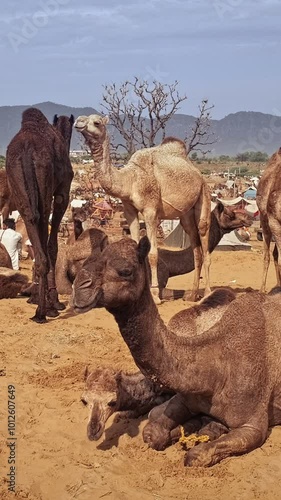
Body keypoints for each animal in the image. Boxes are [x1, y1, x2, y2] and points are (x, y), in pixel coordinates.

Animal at [5, 107, 73, 322]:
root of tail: (27, 149)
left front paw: (36, 297)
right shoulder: (62, 194)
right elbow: (52, 246)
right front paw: (55, 302)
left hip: (19, 187)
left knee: (31, 218)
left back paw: (38, 308)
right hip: (44, 187)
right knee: (44, 242)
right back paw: (43, 311)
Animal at [72, 236, 281, 466]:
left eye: (125, 270)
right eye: (88, 260)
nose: (79, 288)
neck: (216, 367)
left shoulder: (253, 426)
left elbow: (195, 456)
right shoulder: (185, 399)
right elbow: (152, 432)